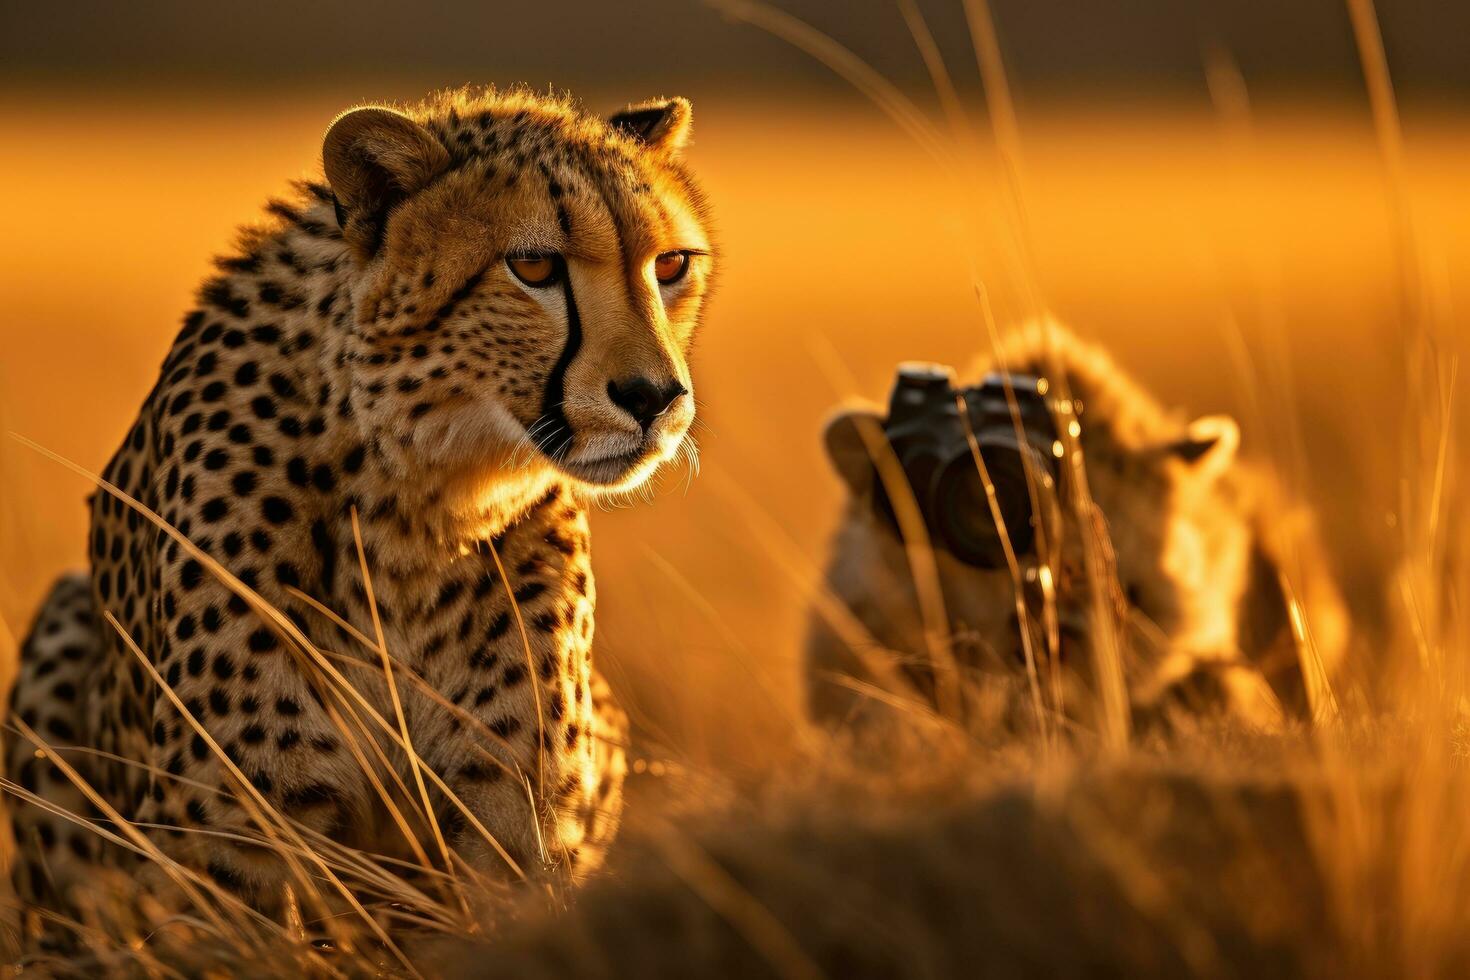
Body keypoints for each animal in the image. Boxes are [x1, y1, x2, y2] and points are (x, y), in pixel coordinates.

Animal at [1, 84, 711, 922]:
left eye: (671, 265)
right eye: (533, 265)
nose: (655, 398)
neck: (420, 500)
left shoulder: (512, 820)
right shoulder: (234, 847)